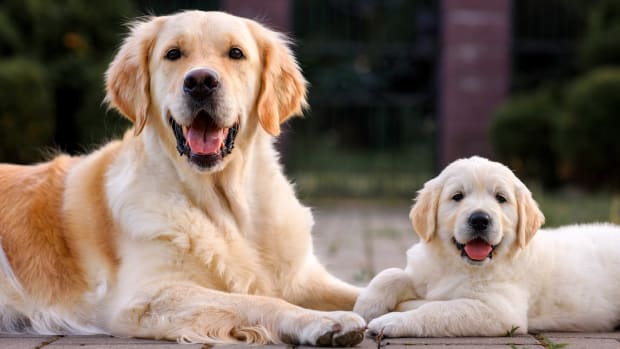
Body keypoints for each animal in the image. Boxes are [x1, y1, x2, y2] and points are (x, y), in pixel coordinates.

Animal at [0, 10, 366, 346]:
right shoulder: (147, 296)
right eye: (173, 53)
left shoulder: (301, 278)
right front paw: (323, 321)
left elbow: (362, 291)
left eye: (236, 53)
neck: (227, 207)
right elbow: (258, 301)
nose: (201, 81)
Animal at [352, 156, 620, 336]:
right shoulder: (424, 271)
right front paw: (366, 306)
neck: (458, 266)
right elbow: (391, 274)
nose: (480, 219)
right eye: (457, 196)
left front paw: (391, 321)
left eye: (501, 198)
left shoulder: (500, 310)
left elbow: (439, 310)